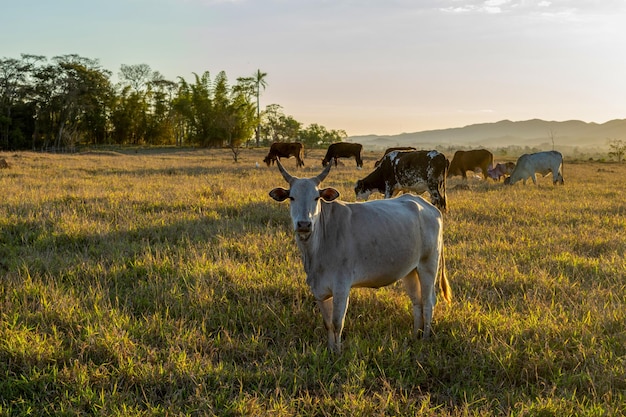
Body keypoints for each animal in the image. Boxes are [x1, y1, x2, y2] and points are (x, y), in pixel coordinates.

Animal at [268, 158, 448, 352]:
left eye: (316, 198)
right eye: (292, 197)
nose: (304, 224)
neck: (317, 248)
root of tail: (428, 206)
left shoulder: (341, 287)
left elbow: (337, 323)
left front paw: (338, 353)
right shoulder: (319, 290)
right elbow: (327, 324)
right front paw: (331, 350)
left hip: (428, 265)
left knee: (428, 302)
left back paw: (425, 339)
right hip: (410, 270)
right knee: (417, 302)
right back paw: (415, 336)